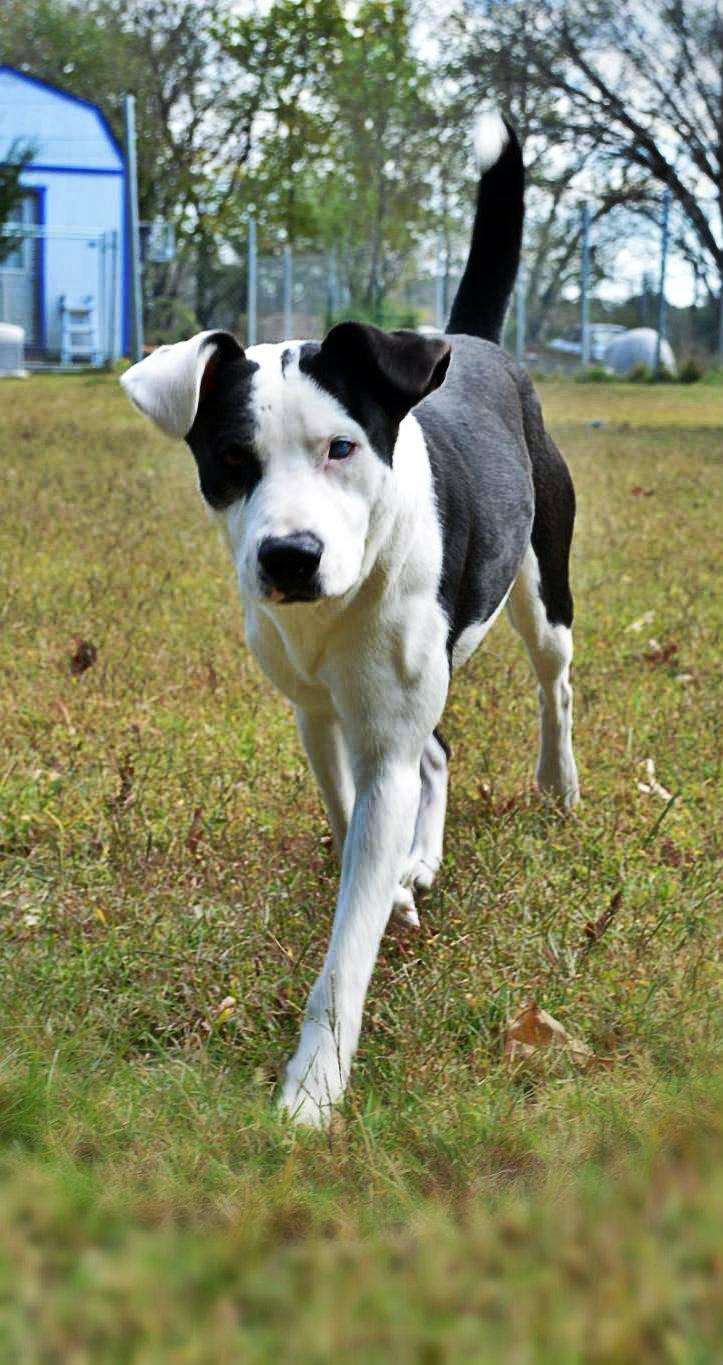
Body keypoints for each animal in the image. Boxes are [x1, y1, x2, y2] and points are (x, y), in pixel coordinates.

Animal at [120, 114, 575, 1119]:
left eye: (341, 448)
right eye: (230, 458)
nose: (289, 556)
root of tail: (468, 342)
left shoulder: (383, 727)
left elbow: (348, 940)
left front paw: (312, 1087)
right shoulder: (318, 713)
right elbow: (350, 812)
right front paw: (393, 878)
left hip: (542, 589)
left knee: (552, 684)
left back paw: (557, 785)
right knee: (436, 751)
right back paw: (420, 859)